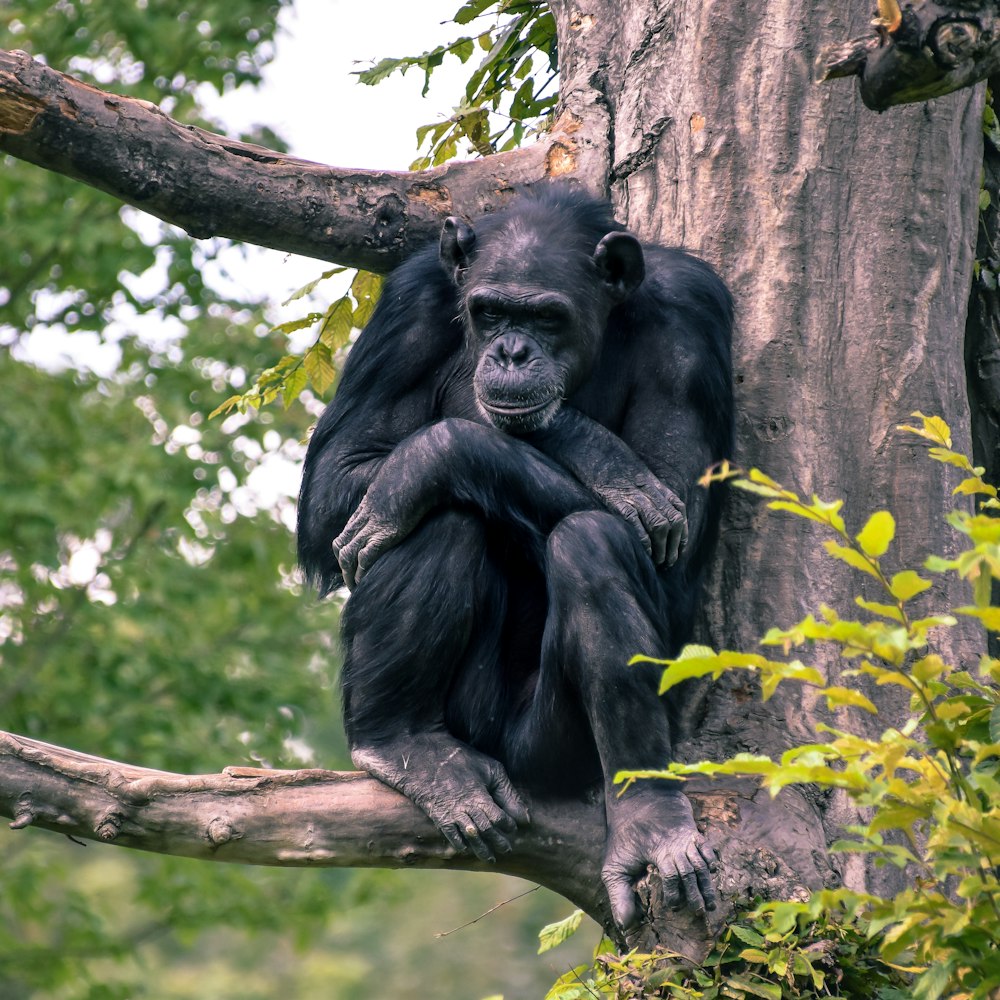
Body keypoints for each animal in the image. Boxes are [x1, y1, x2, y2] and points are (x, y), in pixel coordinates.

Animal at [296, 186, 736, 928]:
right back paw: (403, 742)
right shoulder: (408, 306)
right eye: (491, 311)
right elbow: (337, 479)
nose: (507, 350)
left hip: (548, 749)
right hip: (470, 721)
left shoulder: (690, 322)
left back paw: (648, 819)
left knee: (589, 543)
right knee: (440, 519)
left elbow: (670, 530)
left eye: (546, 317)